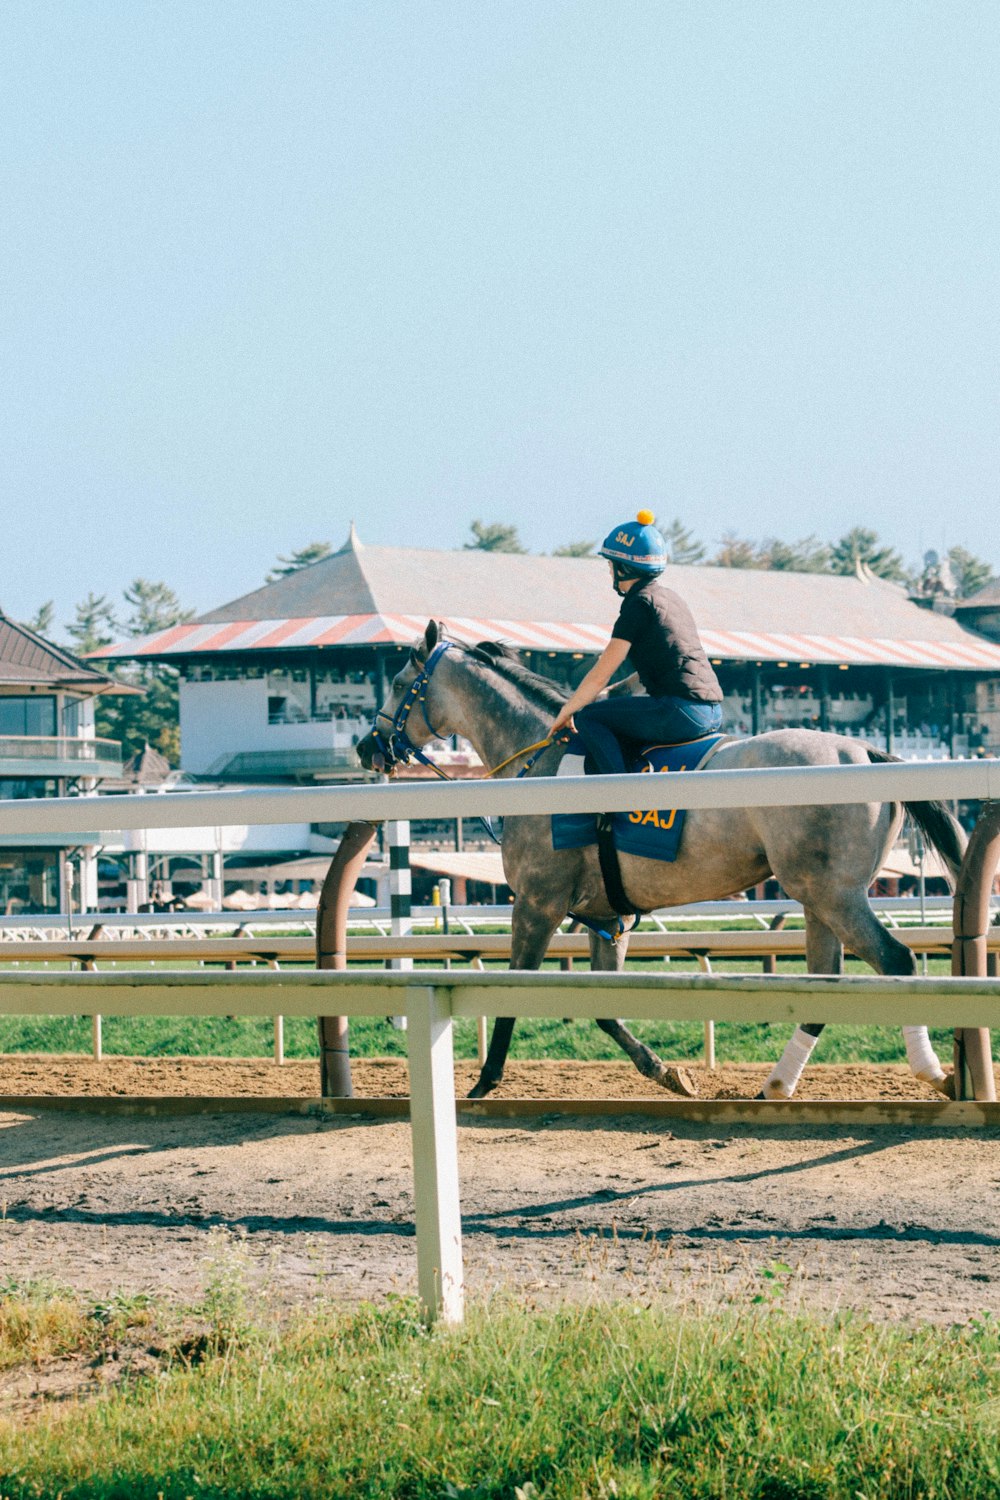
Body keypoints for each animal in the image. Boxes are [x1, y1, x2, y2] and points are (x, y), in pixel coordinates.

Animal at [355, 621, 965, 1104]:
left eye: (397, 684)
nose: (366, 746)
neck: (542, 763)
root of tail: (862, 750)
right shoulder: (607, 915)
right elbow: (606, 1008)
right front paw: (667, 1072)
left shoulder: (536, 902)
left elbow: (513, 990)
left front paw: (485, 1082)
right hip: (818, 896)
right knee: (823, 986)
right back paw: (776, 1086)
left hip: (833, 893)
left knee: (898, 962)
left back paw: (933, 1072)